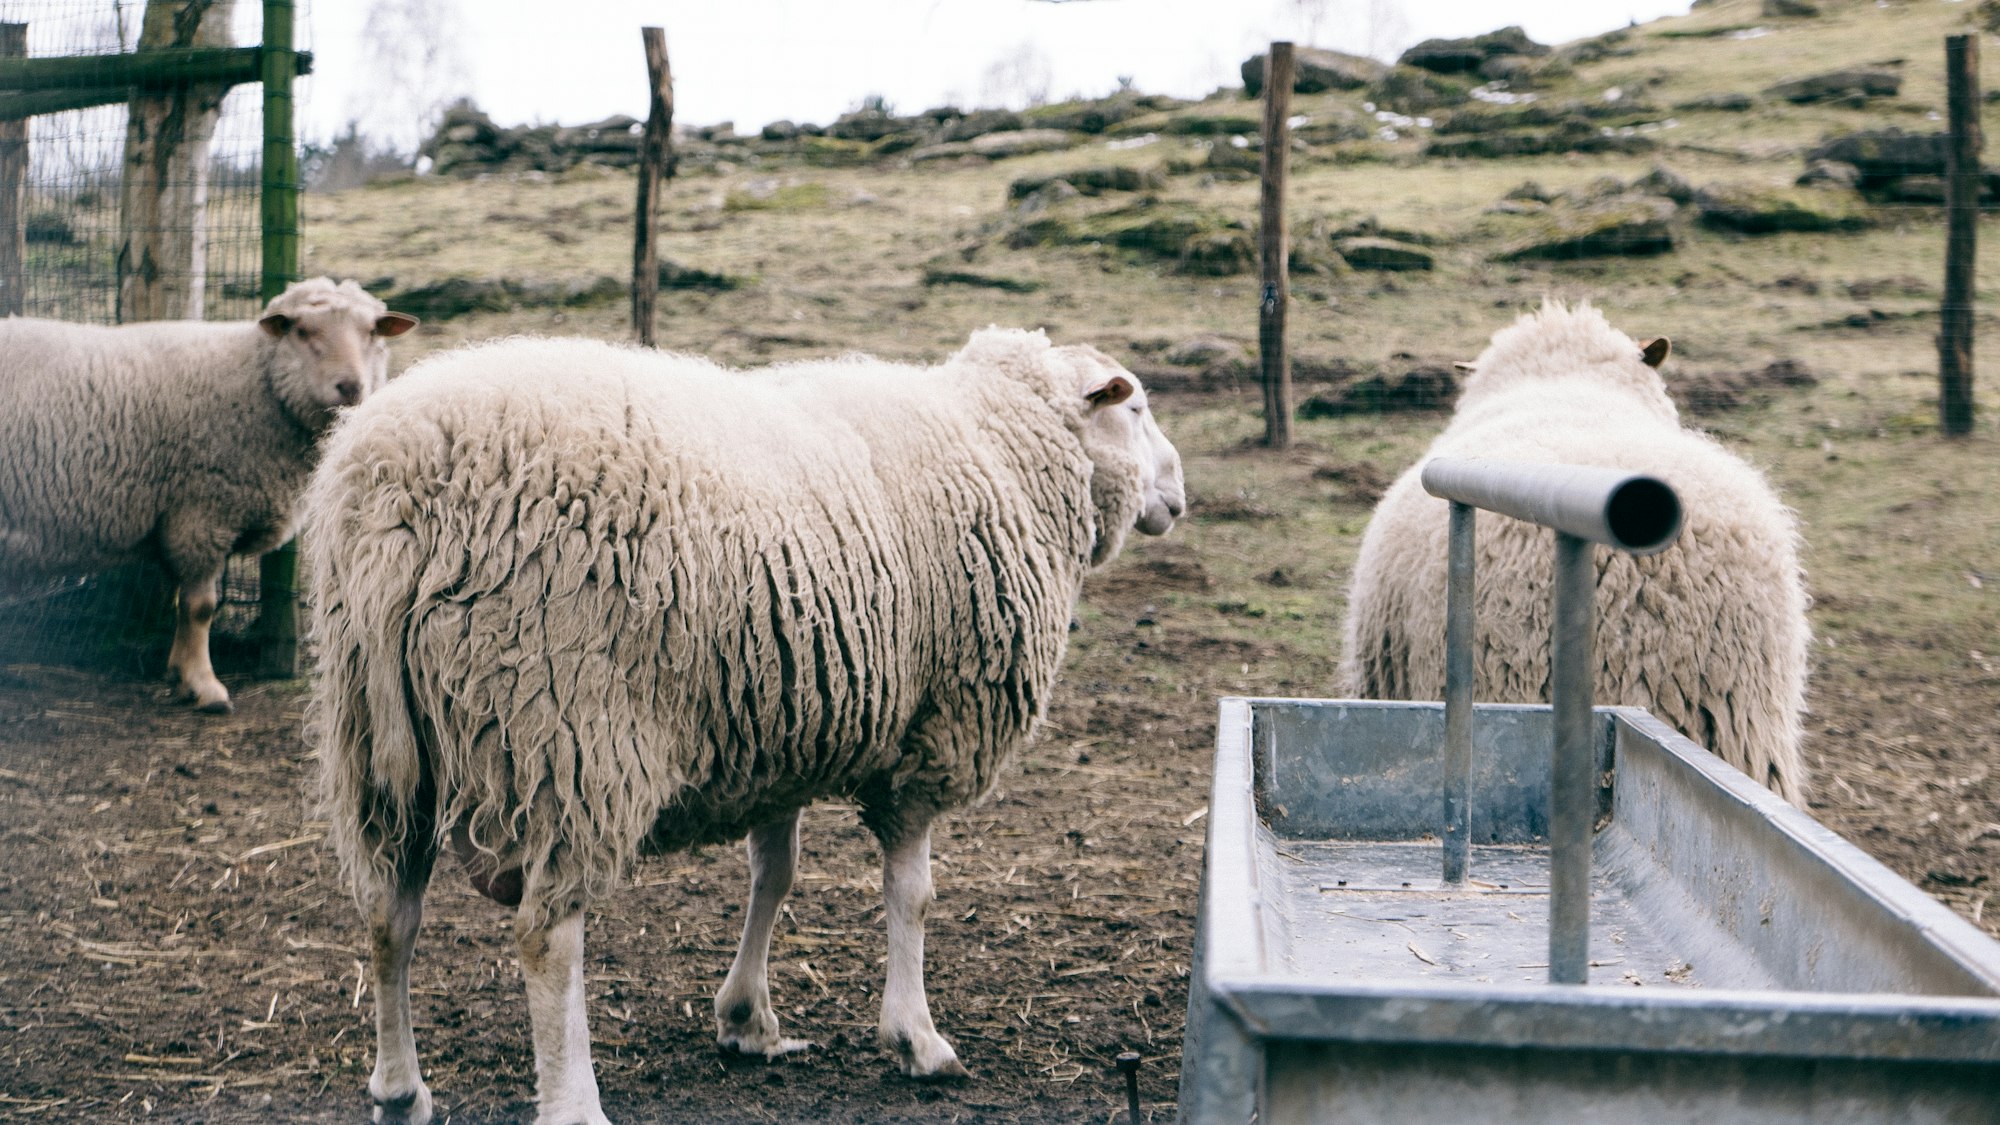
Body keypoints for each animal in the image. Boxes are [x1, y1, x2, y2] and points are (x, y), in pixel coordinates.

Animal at [0, 274, 418, 704]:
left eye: (373, 331)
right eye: (302, 331)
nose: (350, 387)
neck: (259, 380)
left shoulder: (183, 517)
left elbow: (179, 602)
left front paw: (177, 671)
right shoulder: (202, 514)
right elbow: (200, 607)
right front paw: (204, 685)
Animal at [302, 324, 1184, 1120]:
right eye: (1135, 406)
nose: (1178, 494)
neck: (1001, 445)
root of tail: (395, 500)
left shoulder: (781, 720)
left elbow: (775, 872)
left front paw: (747, 1020)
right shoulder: (931, 736)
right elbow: (912, 894)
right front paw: (916, 1038)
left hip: (375, 737)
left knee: (388, 911)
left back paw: (400, 1089)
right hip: (565, 729)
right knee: (546, 934)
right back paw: (572, 1100)